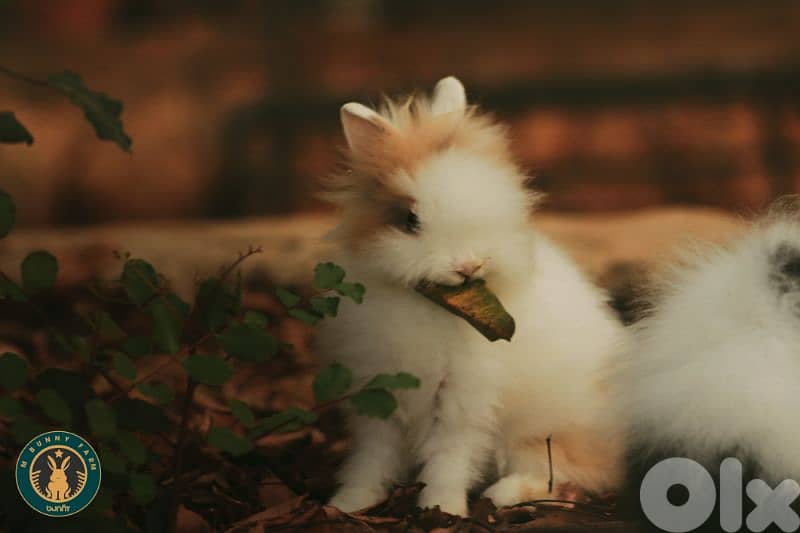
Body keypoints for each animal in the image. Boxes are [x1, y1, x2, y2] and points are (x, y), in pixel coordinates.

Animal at [317, 76, 627, 516]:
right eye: (410, 220)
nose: (470, 265)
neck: (429, 304)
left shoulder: (462, 400)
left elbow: (451, 456)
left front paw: (442, 507)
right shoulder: (377, 395)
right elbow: (372, 457)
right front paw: (349, 502)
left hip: (543, 434)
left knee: (570, 475)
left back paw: (503, 495)